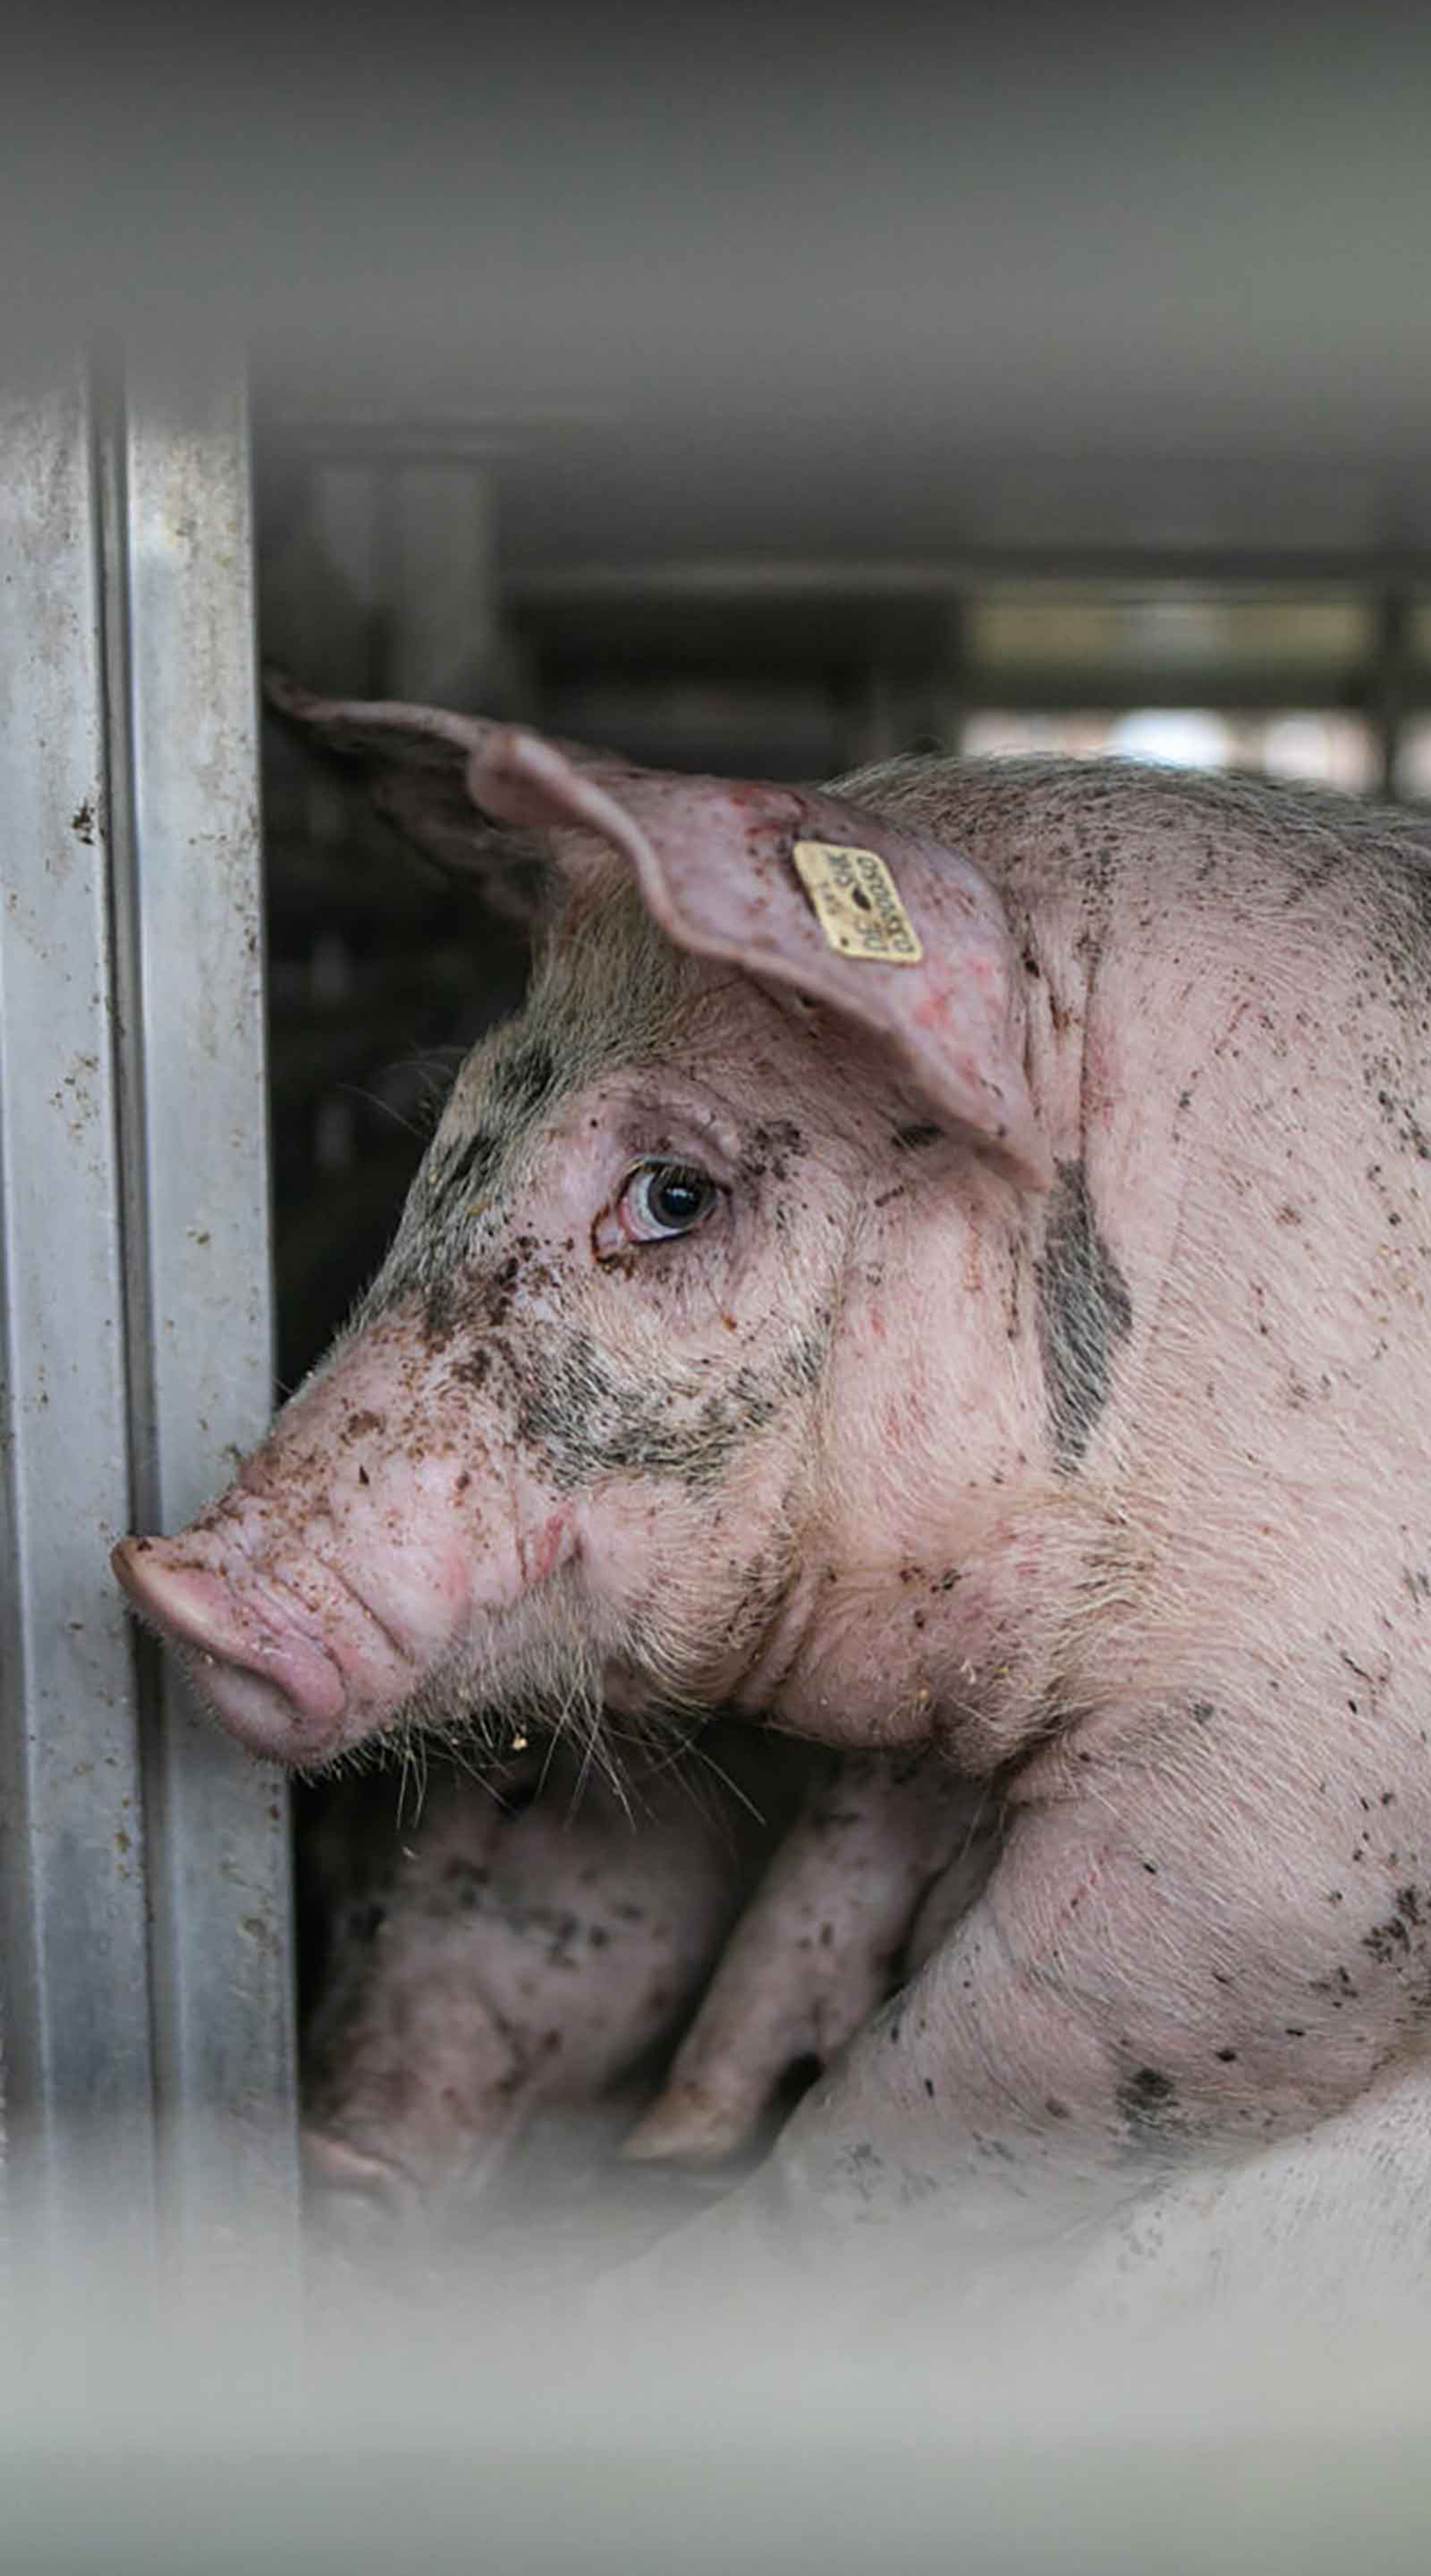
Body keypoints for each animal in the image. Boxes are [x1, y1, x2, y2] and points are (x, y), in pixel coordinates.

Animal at [114, 676, 1431, 2303]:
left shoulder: (1295, 1836)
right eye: (448, 1143)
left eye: (674, 1194)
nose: (173, 1583)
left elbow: (915, 2108)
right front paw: (683, 2129)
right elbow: (824, 1890)